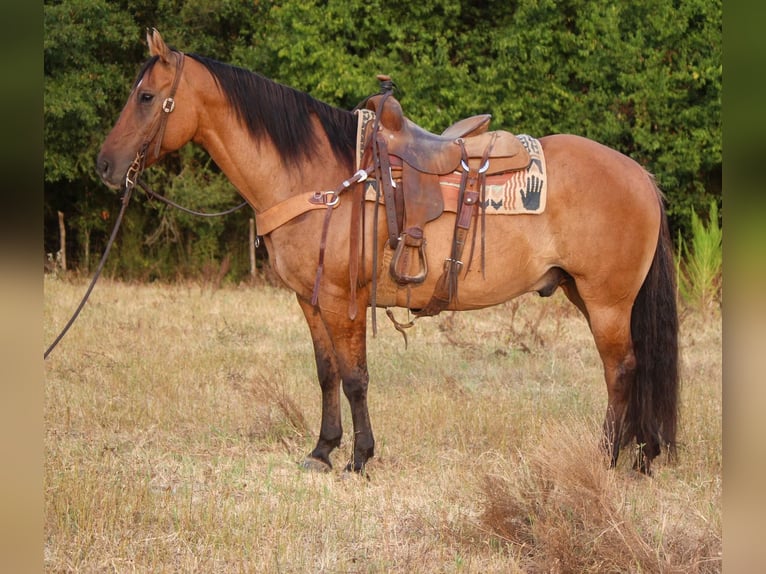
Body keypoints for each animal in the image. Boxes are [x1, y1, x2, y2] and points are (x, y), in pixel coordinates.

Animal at [96, 28, 680, 476]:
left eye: (145, 97)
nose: (104, 165)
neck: (322, 179)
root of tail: (640, 175)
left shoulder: (344, 299)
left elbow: (355, 377)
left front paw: (359, 457)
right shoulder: (311, 300)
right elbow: (327, 372)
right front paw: (322, 450)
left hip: (607, 301)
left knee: (621, 369)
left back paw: (609, 457)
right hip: (586, 293)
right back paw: (640, 455)